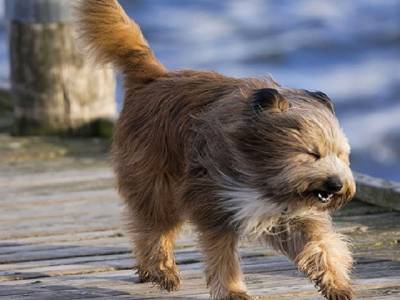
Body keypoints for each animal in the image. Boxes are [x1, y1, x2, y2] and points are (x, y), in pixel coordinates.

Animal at [76, 1, 356, 298]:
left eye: (341, 156)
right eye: (312, 153)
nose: (337, 185)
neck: (262, 173)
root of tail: (155, 77)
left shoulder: (292, 215)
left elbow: (321, 246)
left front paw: (336, 284)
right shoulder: (215, 204)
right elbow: (222, 256)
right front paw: (233, 291)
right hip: (157, 185)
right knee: (152, 230)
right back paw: (162, 270)